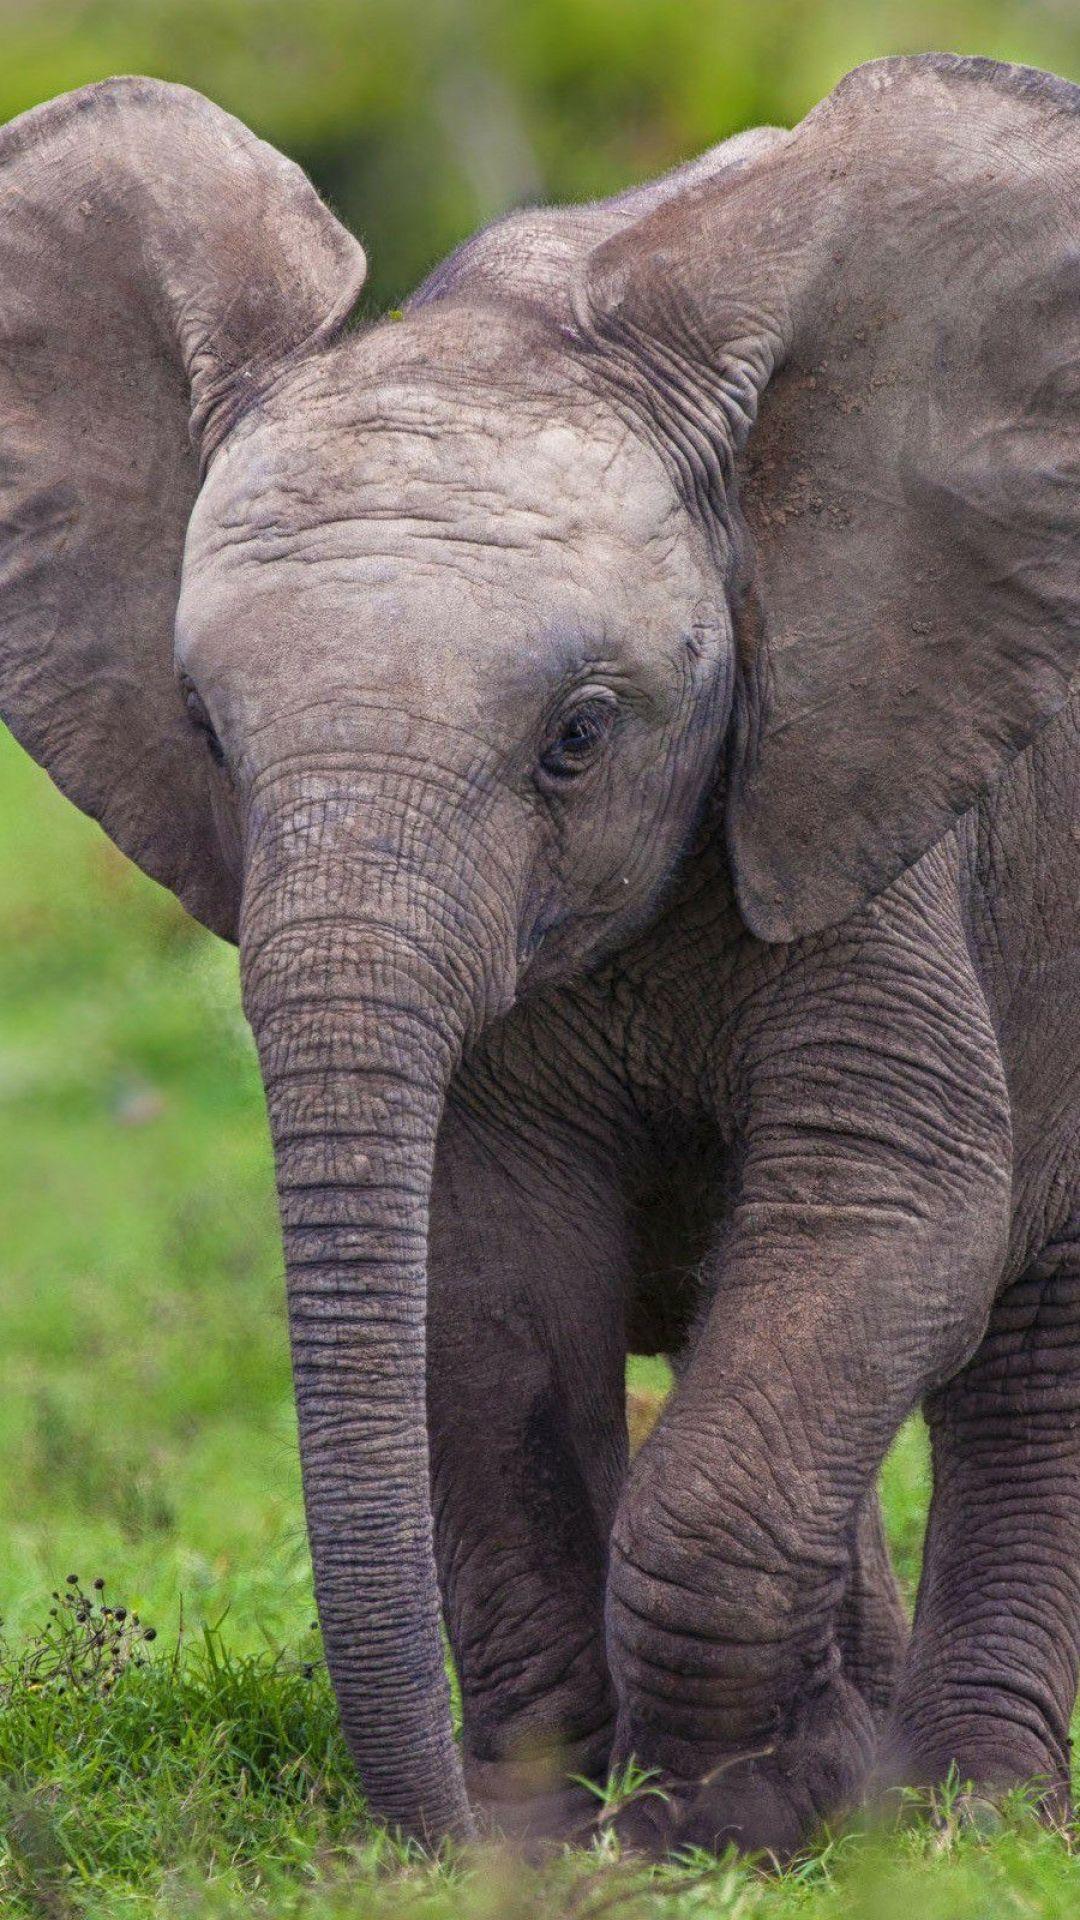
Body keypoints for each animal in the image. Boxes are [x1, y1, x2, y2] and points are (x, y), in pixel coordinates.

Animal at [1, 49, 1079, 1859]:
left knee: (1030, 1349)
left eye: (578, 737)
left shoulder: (872, 794)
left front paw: (739, 1815)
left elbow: (891, 1205)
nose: (448, 1833)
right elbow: (491, 1275)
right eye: (209, 734)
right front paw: (591, 1815)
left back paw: (973, 1817)